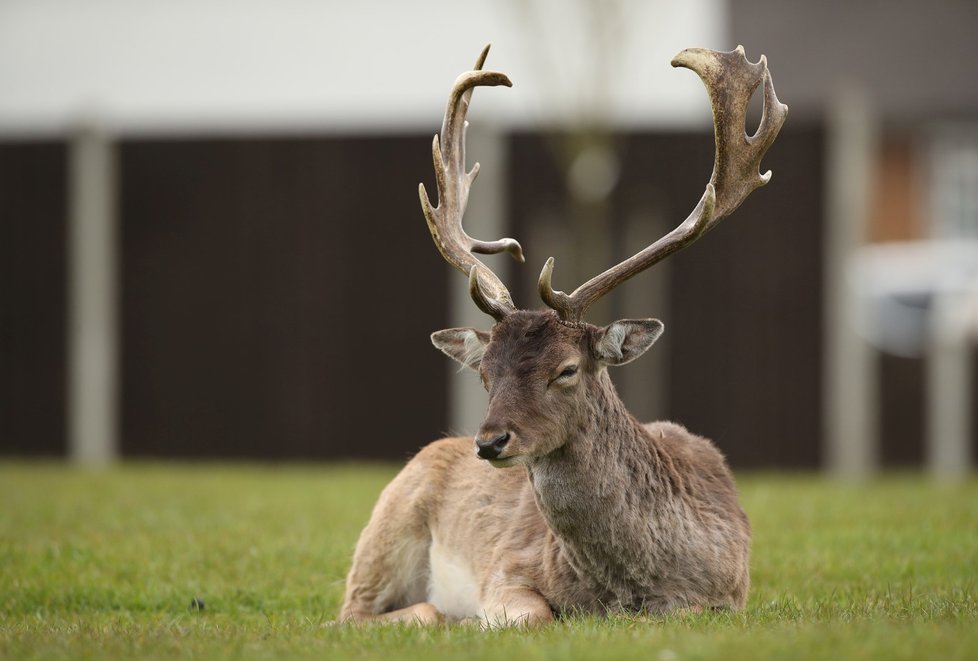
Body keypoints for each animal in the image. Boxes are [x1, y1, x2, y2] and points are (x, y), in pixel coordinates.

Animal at [336, 43, 784, 628]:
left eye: (567, 369)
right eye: (484, 374)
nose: (490, 441)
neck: (621, 589)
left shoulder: (729, 594)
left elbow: (680, 613)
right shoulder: (506, 567)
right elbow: (535, 614)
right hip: (385, 528)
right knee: (356, 612)